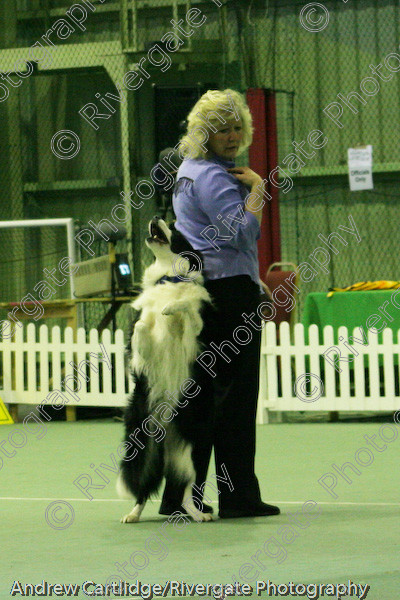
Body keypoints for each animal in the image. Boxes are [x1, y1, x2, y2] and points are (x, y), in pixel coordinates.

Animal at [117, 218, 214, 524]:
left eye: (176, 230)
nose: (155, 219)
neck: (170, 277)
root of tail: (164, 432)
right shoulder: (143, 349)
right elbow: (139, 326)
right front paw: (152, 315)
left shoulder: (196, 332)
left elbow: (187, 307)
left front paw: (171, 307)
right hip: (142, 447)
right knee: (144, 485)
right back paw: (132, 514)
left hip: (191, 451)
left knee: (185, 490)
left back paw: (198, 514)